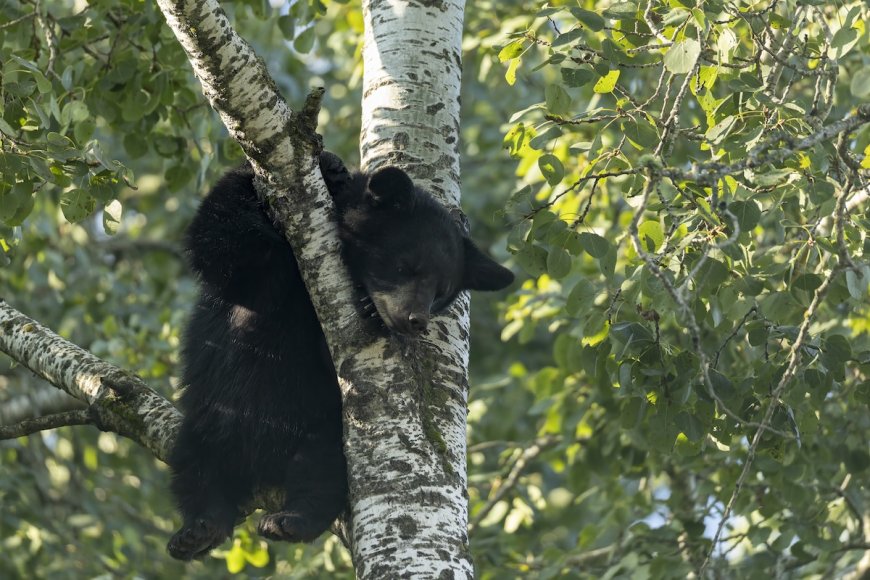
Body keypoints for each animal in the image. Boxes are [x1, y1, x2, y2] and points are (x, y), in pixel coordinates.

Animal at [166, 151, 514, 561]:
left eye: (441, 291)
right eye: (404, 265)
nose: (415, 320)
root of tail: (261, 468)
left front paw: (367, 308)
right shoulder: (261, 275)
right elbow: (221, 246)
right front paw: (323, 166)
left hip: (324, 427)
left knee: (323, 472)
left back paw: (290, 519)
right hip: (209, 419)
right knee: (195, 467)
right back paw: (200, 528)